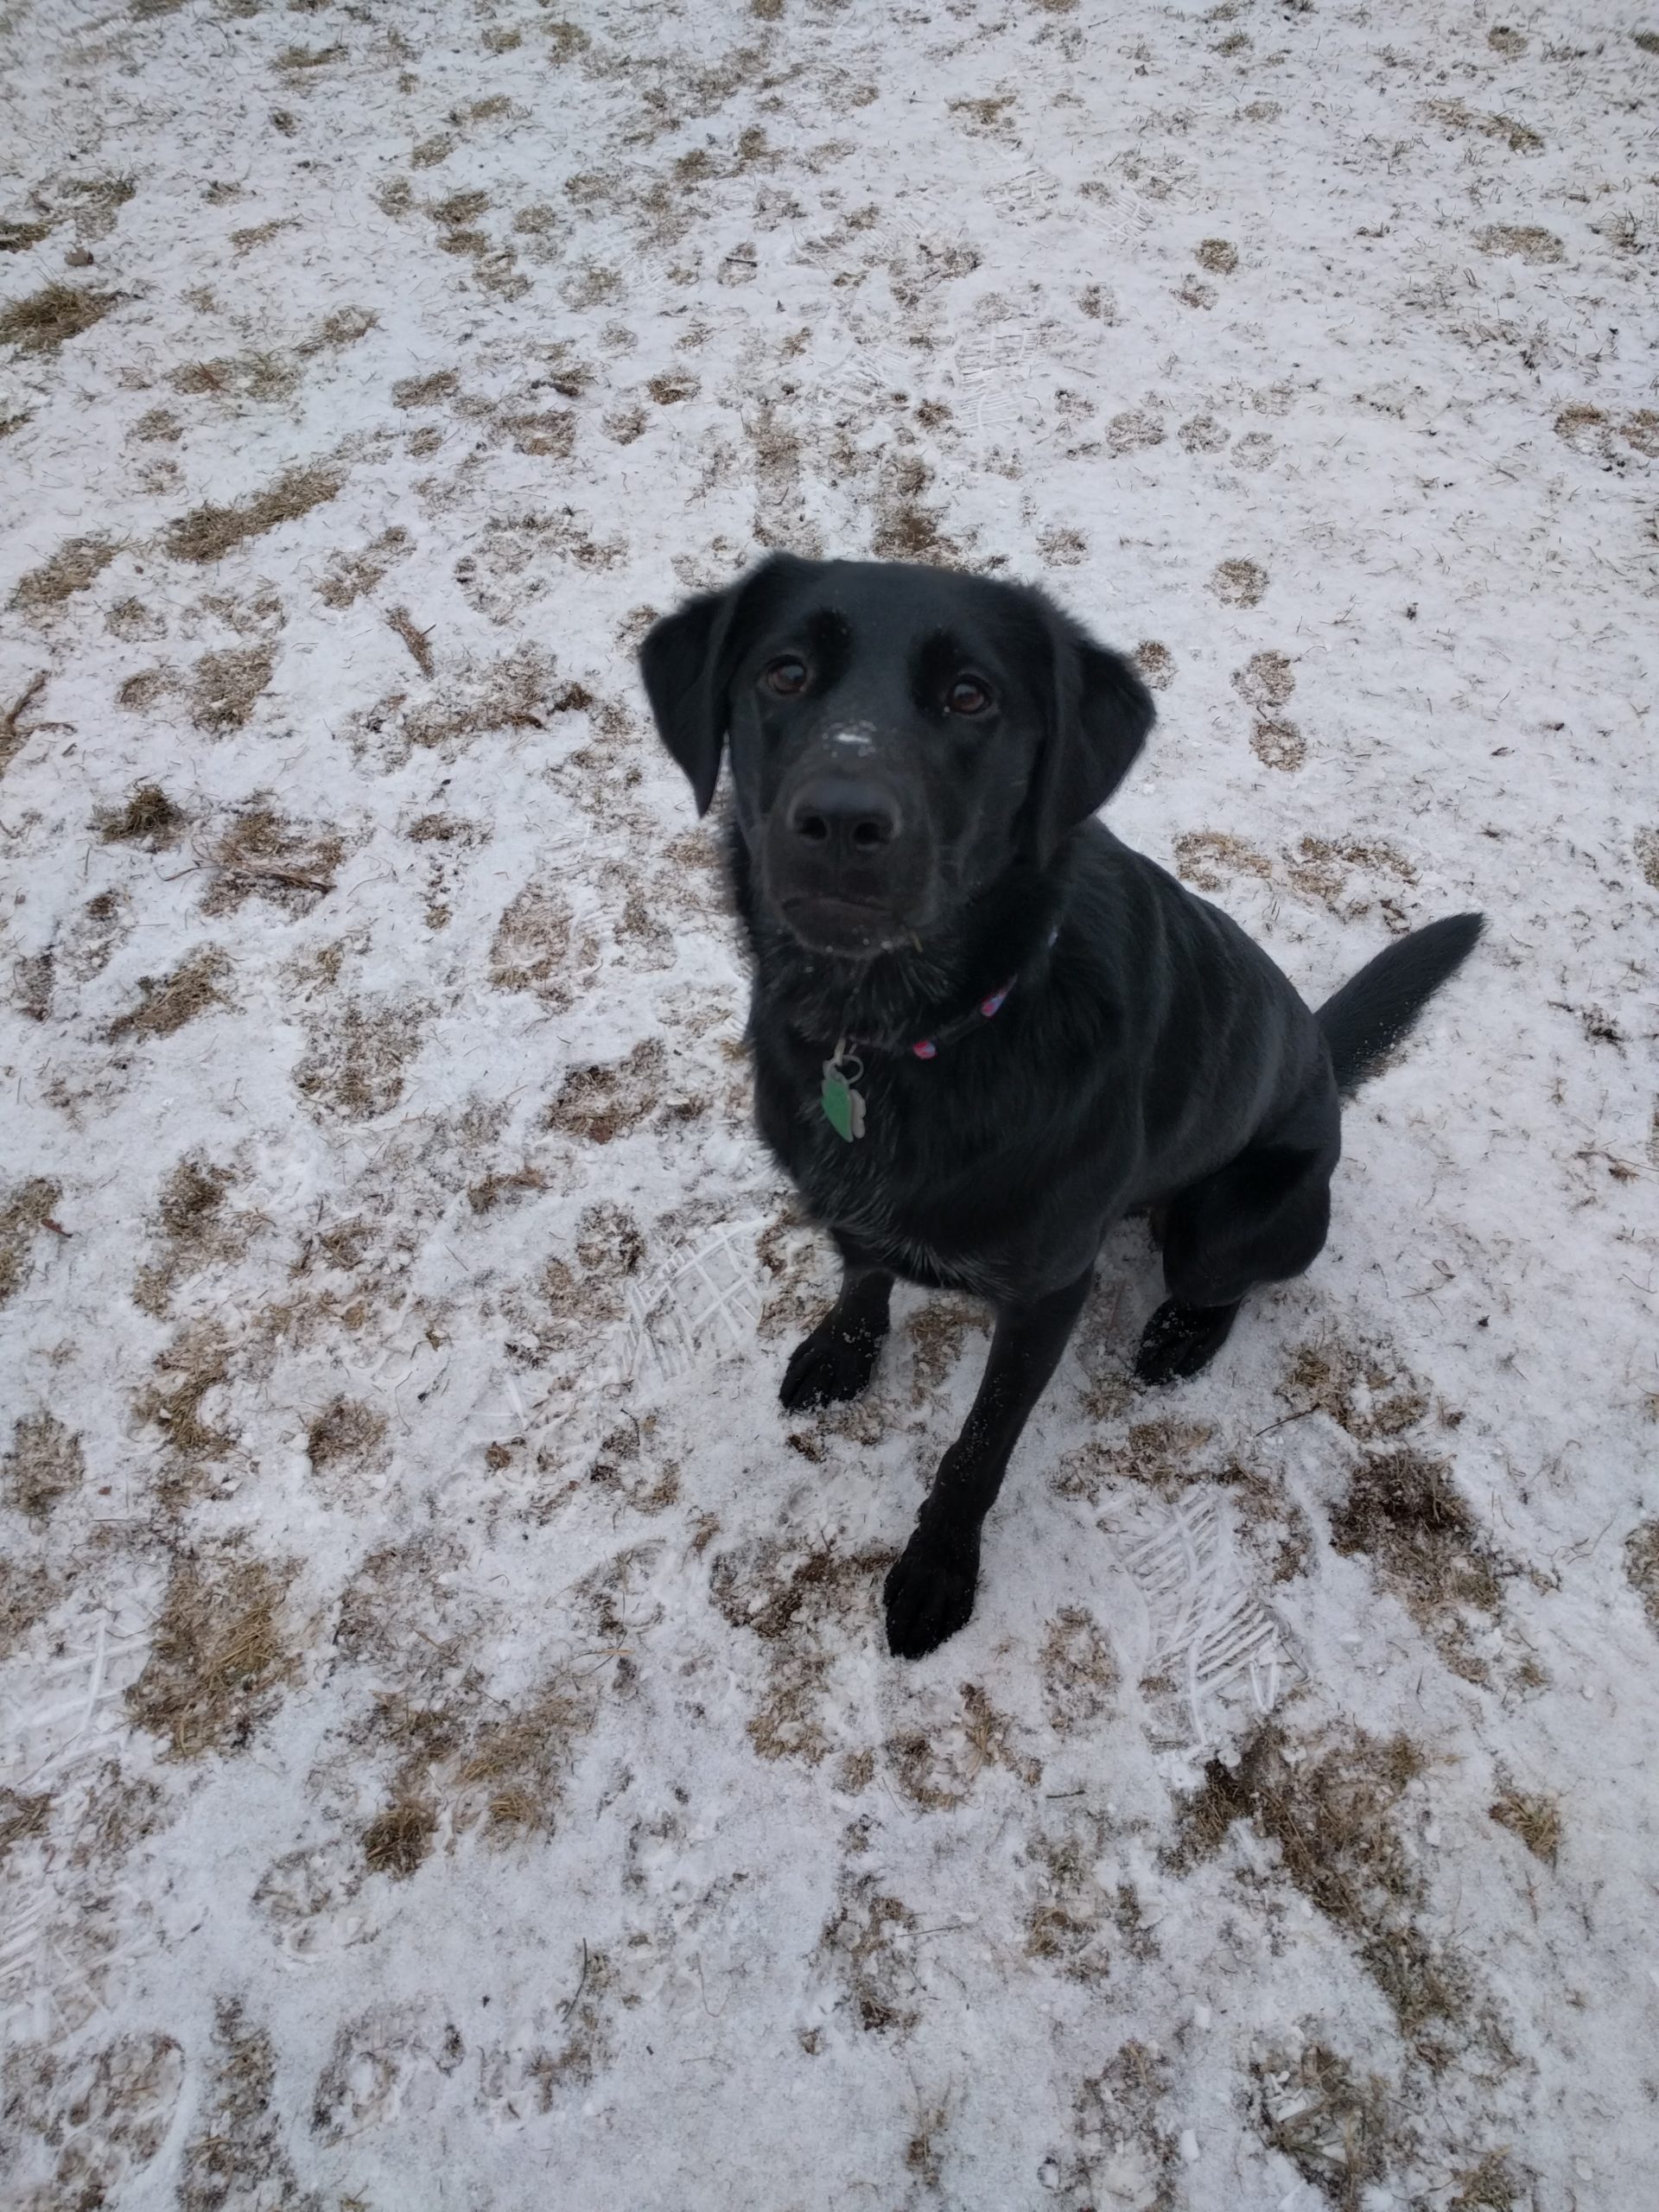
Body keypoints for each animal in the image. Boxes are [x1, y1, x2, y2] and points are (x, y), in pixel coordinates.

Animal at [637, 557, 1478, 1663]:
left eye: (970, 696)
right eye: (784, 673)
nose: (842, 821)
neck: (906, 1033)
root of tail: (1325, 1062)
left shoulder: (1046, 1294)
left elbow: (978, 1446)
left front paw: (937, 1570)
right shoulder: (854, 1201)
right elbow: (863, 1270)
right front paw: (843, 1350)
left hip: (1221, 1219)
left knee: (1234, 1279)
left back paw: (1182, 1337)